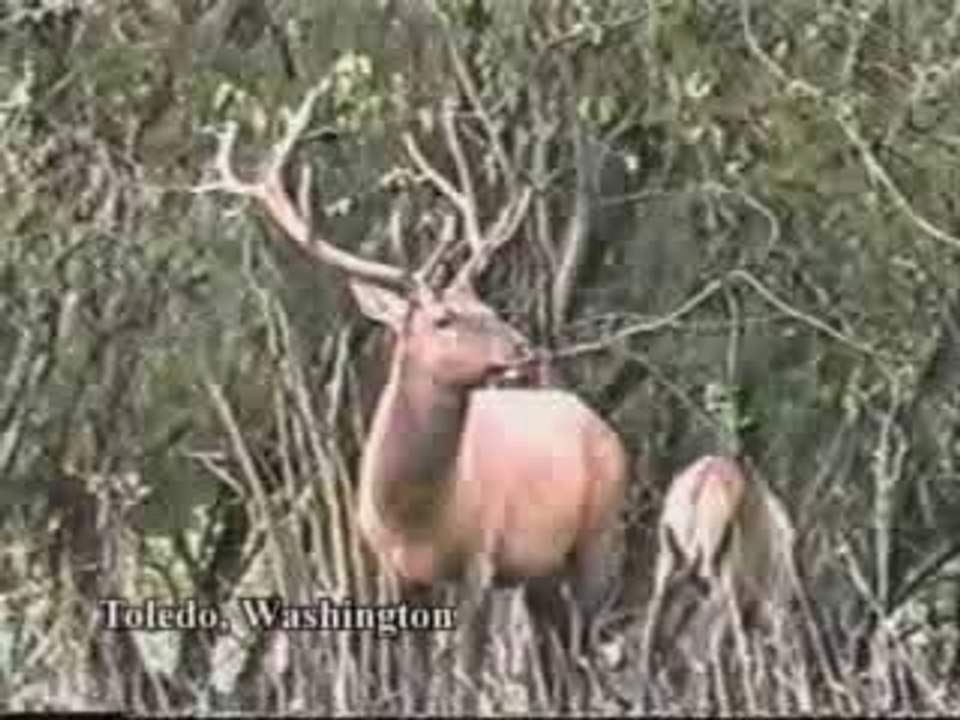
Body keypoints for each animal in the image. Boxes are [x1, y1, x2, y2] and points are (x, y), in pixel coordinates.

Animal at [199, 87, 629, 710]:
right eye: (444, 318)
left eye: (488, 306)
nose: (523, 348)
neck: (419, 514)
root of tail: (598, 423)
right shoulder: (396, 573)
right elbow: (419, 682)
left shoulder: (479, 561)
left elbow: (467, 684)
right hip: (541, 571)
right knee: (560, 659)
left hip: (598, 534)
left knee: (585, 649)